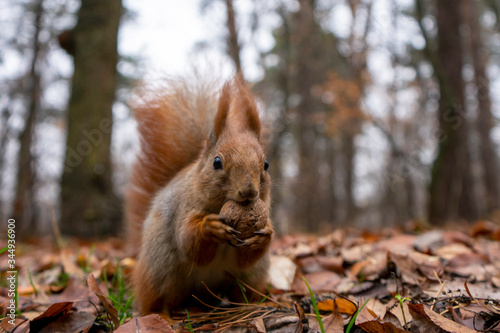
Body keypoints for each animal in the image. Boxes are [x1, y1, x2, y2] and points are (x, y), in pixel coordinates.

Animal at [125, 76, 274, 312]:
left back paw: (248, 305)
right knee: (158, 300)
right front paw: (210, 227)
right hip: (160, 270)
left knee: (243, 290)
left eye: (266, 164)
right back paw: (165, 315)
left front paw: (265, 235)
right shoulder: (183, 208)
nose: (249, 191)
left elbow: (247, 257)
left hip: (251, 276)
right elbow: (188, 241)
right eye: (217, 162)